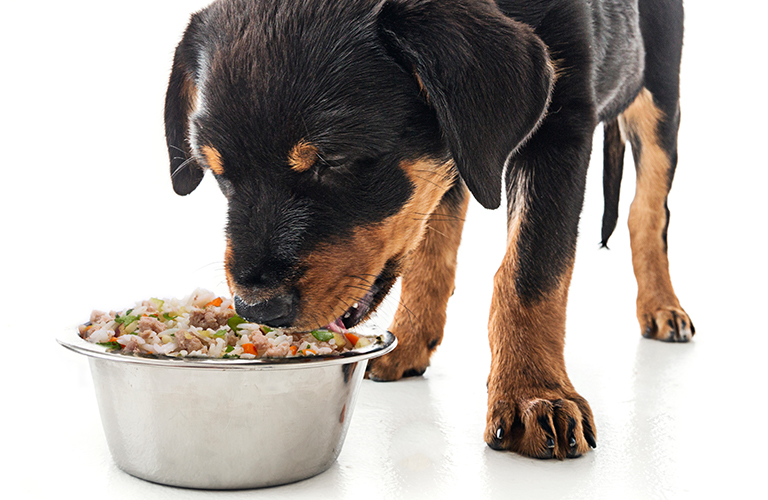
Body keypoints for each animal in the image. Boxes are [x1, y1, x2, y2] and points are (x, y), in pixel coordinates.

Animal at [165, 0, 692, 460]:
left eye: (333, 159)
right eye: (217, 172)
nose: (257, 309)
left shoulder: (561, 125)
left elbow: (531, 270)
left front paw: (534, 392)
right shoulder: (459, 146)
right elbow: (429, 249)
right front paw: (411, 341)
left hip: (659, 93)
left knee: (648, 212)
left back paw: (662, 307)